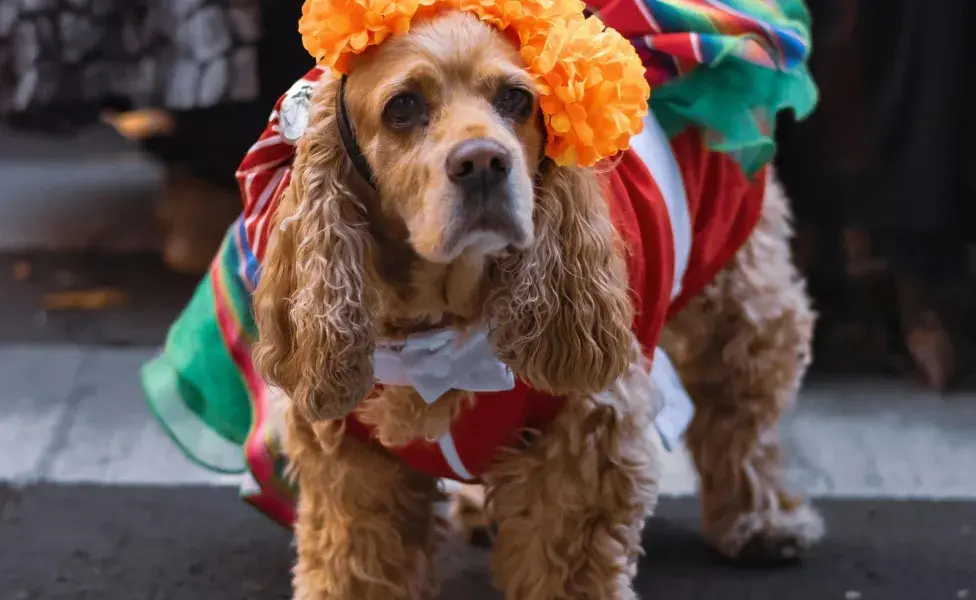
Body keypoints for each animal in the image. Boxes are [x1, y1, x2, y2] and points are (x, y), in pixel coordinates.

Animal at [246, 8, 824, 600]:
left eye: (517, 100)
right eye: (402, 107)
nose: (483, 161)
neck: (444, 326)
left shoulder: (584, 447)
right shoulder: (354, 468)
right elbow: (358, 564)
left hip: (743, 299)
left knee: (743, 420)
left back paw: (763, 522)